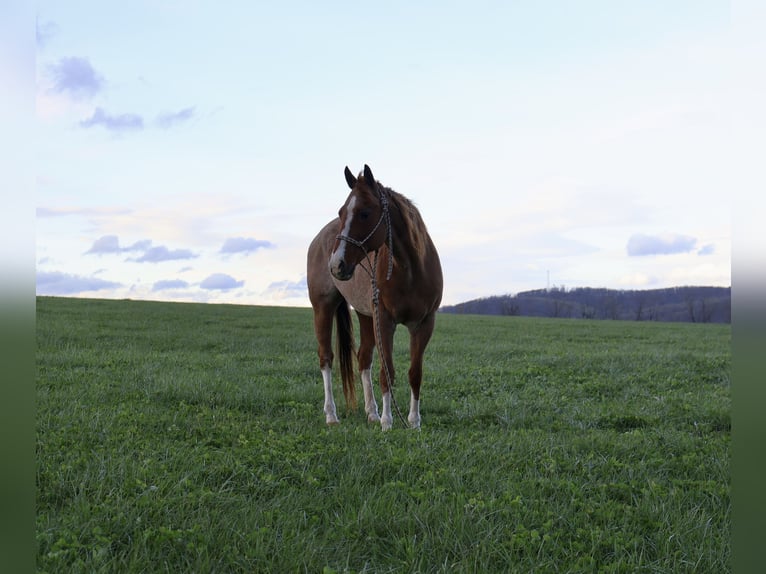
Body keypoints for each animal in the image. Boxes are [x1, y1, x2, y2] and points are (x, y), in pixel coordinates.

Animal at [307, 164, 443, 431]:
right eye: (341, 212)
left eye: (365, 213)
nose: (336, 264)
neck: (410, 270)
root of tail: (318, 239)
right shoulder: (385, 321)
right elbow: (387, 371)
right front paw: (388, 422)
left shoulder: (424, 324)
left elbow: (415, 373)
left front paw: (414, 421)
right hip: (323, 308)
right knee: (326, 358)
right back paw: (332, 415)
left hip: (365, 314)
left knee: (363, 359)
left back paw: (371, 412)